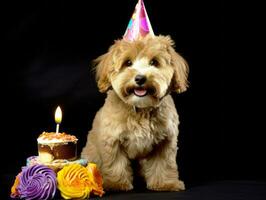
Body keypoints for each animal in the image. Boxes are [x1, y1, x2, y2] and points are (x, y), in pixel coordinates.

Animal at [82, 35, 188, 191]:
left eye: (154, 62)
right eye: (128, 63)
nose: (140, 78)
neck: (140, 109)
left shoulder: (165, 141)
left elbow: (164, 164)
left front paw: (165, 183)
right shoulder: (112, 140)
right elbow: (115, 163)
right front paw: (115, 184)